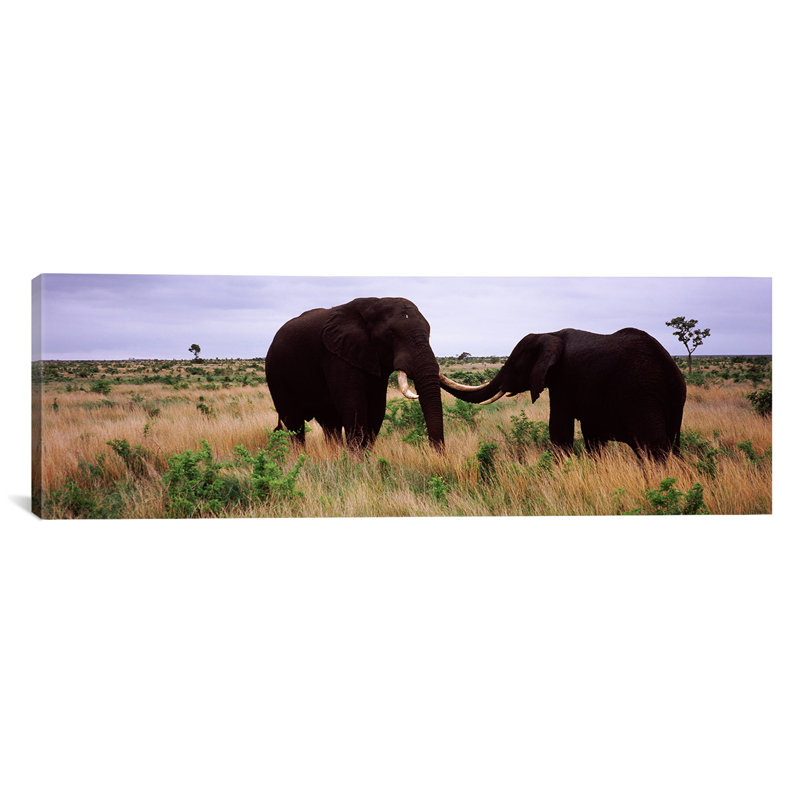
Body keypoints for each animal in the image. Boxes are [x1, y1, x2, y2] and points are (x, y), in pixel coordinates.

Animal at [265, 297, 445, 450]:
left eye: (429, 333)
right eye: (391, 335)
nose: (436, 454)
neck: (373, 304)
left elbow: (377, 408)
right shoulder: (336, 355)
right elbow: (353, 406)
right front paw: (357, 463)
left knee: (330, 423)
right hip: (275, 373)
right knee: (294, 423)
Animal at [439, 327, 686, 460]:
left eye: (513, 365)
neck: (550, 334)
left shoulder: (564, 379)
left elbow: (559, 430)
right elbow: (591, 434)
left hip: (641, 396)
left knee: (653, 448)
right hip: (674, 402)